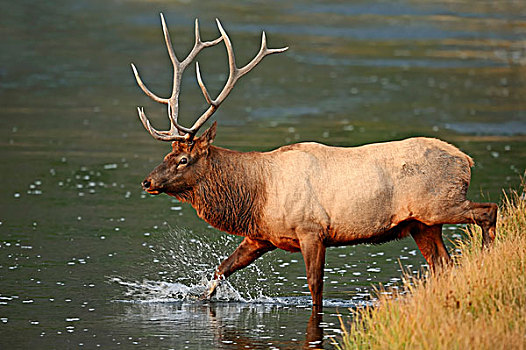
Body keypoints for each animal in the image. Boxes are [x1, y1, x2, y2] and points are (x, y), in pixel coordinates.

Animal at [131, 14, 500, 308]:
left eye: (183, 159)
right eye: (167, 154)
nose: (147, 181)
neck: (254, 194)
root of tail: (466, 160)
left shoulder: (311, 229)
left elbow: (315, 289)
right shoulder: (261, 236)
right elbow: (220, 270)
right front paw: (199, 297)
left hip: (439, 204)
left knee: (488, 210)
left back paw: (487, 259)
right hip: (422, 224)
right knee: (444, 264)